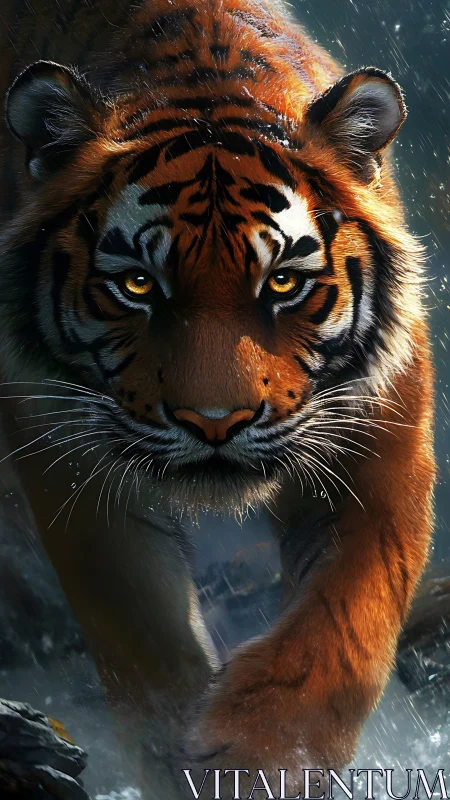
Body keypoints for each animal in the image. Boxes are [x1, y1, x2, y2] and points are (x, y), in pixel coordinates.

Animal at [0, 0, 435, 797]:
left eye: (283, 282)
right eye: (138, 285)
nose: (214, 422)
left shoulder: (377, 444)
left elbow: (343, 623)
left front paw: (264, 757)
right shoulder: (70, 458)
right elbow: (145, 637)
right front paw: (178, 753)